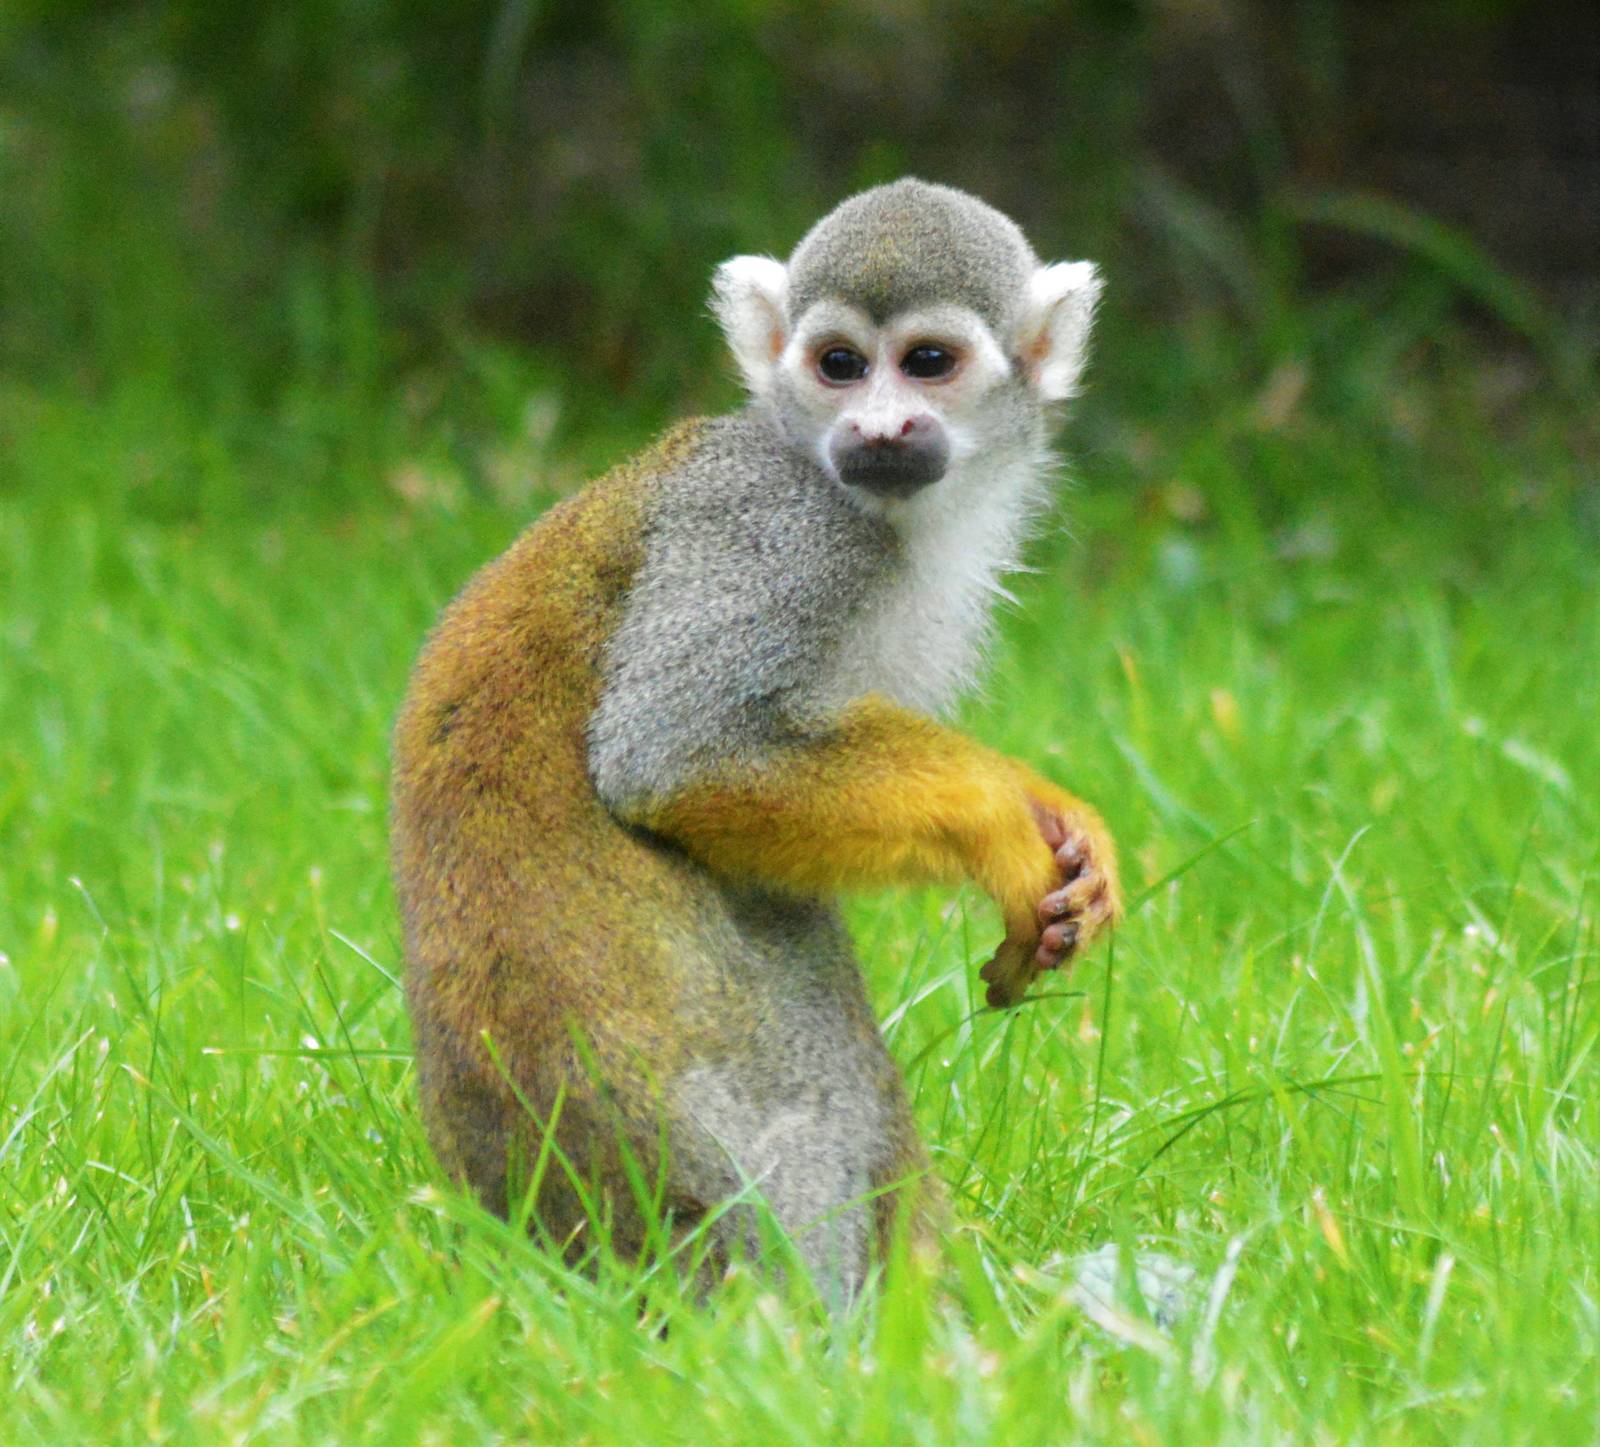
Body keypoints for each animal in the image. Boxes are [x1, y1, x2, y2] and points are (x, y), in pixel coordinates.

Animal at [390, 178, 1120, 1306]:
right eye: (838, 365)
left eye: (927, 362)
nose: (879, 425)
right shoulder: (781, 536)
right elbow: (675, 757)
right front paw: (1001, 820)